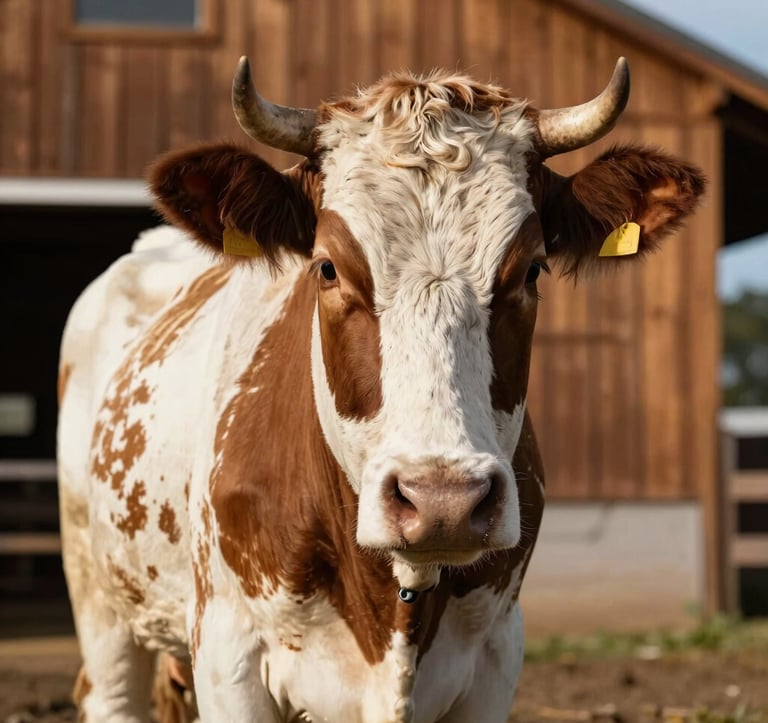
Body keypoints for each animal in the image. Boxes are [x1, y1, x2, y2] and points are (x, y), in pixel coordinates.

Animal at [57, 56, 704, 723]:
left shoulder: (496, 654)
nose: (442, 501)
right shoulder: (227, 653)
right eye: (327, 267)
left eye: (531, 269)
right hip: (99, 599)